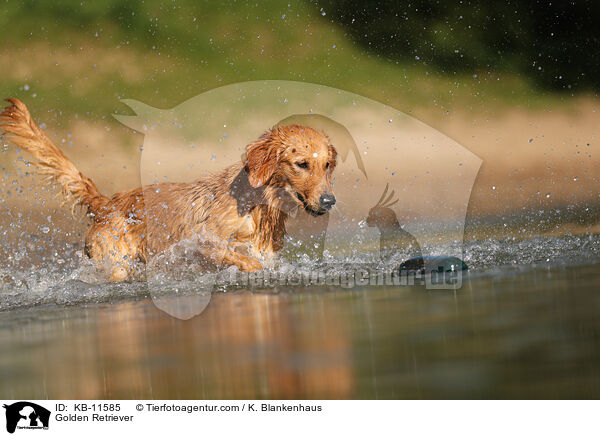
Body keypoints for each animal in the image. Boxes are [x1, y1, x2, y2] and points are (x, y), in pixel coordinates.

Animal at [0, 99, 338, 282]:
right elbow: (243, 260)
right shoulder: (200, 242)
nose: (329, 200)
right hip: (115, 263)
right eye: (301, 164)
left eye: (328, 165)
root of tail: (106, 202)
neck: (259, 206)